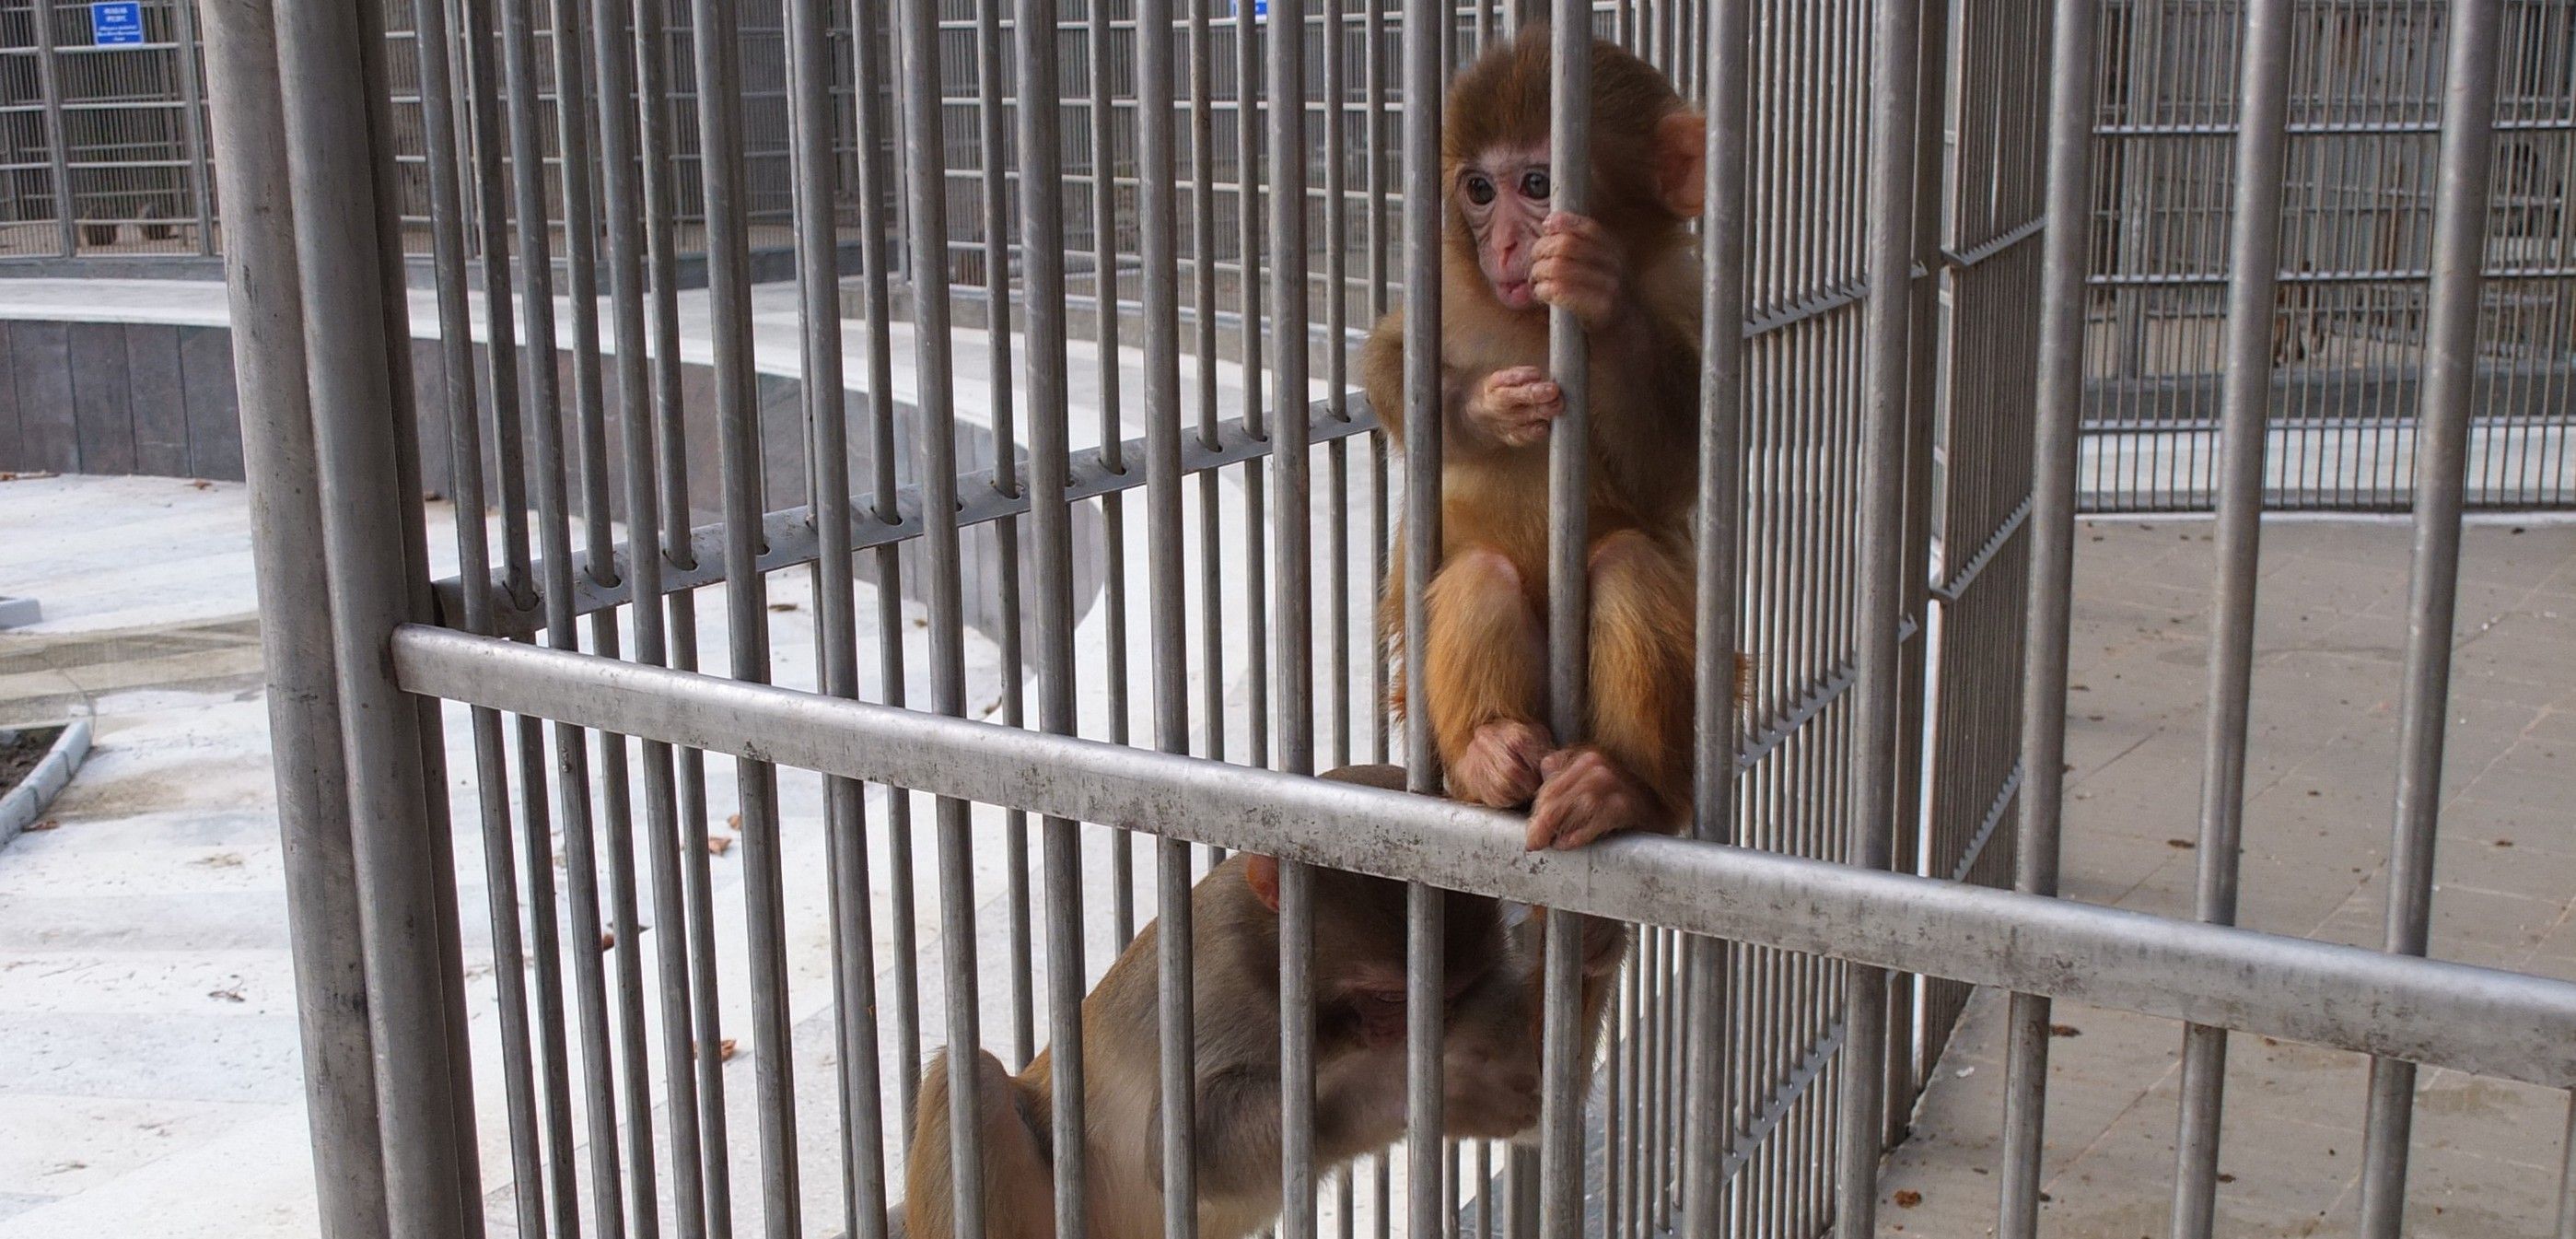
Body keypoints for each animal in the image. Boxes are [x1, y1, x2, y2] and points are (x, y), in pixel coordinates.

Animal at [896, 762, 1617, 1236]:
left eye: (1452, 996)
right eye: (1389, 994)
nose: (1423, 1026)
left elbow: (1540, 1094)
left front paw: (1590, 935)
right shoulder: (1215, 980)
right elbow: (1182, 1143)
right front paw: (1419, 1083)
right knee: (971, 1080)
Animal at [1359, 24, 1720, 849]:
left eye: (1536, 184)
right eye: (1478, 191)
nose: (1500, 249)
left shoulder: (1685, 296)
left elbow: (1671, 471)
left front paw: (1598, 289)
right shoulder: (1442, 289)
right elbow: (1392, 370)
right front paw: (1486, 408)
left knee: (1627, 564)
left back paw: (1616, 788)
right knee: (1479, 575)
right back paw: (1488, 755)